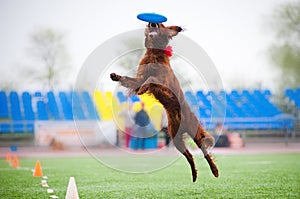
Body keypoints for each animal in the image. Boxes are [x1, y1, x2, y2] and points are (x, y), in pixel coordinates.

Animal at [110, 12, 218, 182]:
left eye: (160, 25)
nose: (151, 22)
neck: (154, 53)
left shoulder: (162, 82)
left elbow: (150, 79)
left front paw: (143, 89)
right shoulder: (138, 79)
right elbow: (132, 80)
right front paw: (115, 76)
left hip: (194, 132)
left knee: (205, 152)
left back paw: (214, 171)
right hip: (175, 138)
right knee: (189, 156)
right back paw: (194, 175)